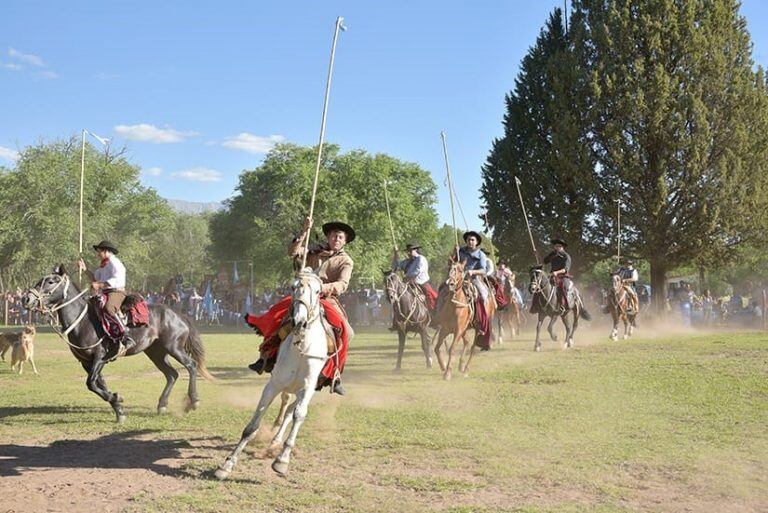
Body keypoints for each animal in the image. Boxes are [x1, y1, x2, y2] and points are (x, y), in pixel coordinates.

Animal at [22, 264, 213, 420]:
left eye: (51, 281)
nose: (27, 299)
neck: (83, 321)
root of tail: (178, 314)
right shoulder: (87, 362)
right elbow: (99, 384)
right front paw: (118, 406)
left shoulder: (99, 357)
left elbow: (91, 383)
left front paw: (116, 399)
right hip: (156, 353)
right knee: (172, 374)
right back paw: (162, 405)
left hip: (174, 348)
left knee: (191, 365)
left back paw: (193, 401)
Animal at [214, 268, 328, 476]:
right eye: (293, 287)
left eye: (318, 292)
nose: (299, 321)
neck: (301, 347)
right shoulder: (274, 384)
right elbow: (252, 426)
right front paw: (227, 464)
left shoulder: (307, 388)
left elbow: (299, 415)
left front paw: (282, 460)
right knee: (286, 406)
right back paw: (274, 440)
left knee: (291, 412)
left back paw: (277, 443)